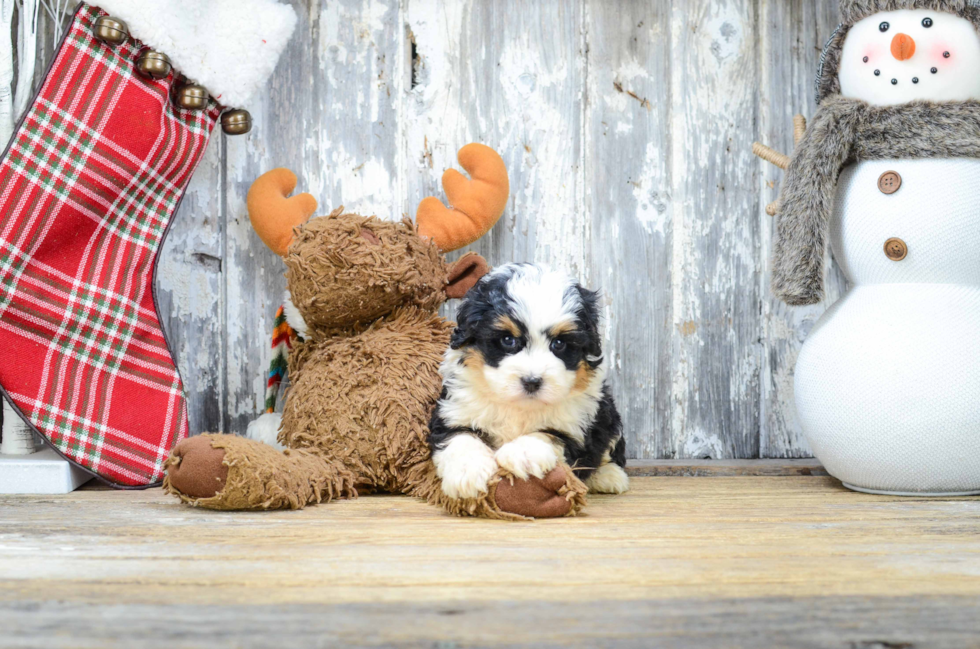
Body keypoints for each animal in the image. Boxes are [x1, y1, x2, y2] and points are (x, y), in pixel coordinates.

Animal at [428, 264, 628, 502]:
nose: (532, 381)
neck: (519, 406)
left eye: (559, 344)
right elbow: (460, 438)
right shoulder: (454, 411)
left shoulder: (576, 426)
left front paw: (522, 453)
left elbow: (547, 435)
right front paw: (467, 474)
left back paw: (610, 476)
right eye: (508, 340)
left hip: (609, 417)